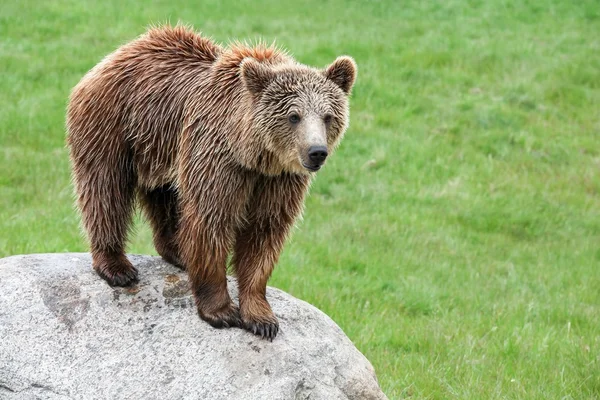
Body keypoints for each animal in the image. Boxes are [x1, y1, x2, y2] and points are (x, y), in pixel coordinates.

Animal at [65, 23, 356, 340]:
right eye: (294, 116)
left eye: (328, 116)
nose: (316, 152)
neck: (253, 154)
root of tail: (116, 55)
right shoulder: (218, 158)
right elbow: (210, 222)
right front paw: (222, 311)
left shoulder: (277, 180)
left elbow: (264, 232)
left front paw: (262, 318)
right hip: (114, 124)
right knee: (106, 189)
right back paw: (117, 266)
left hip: (161, 150)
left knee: (165, 197)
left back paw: (178, 251)